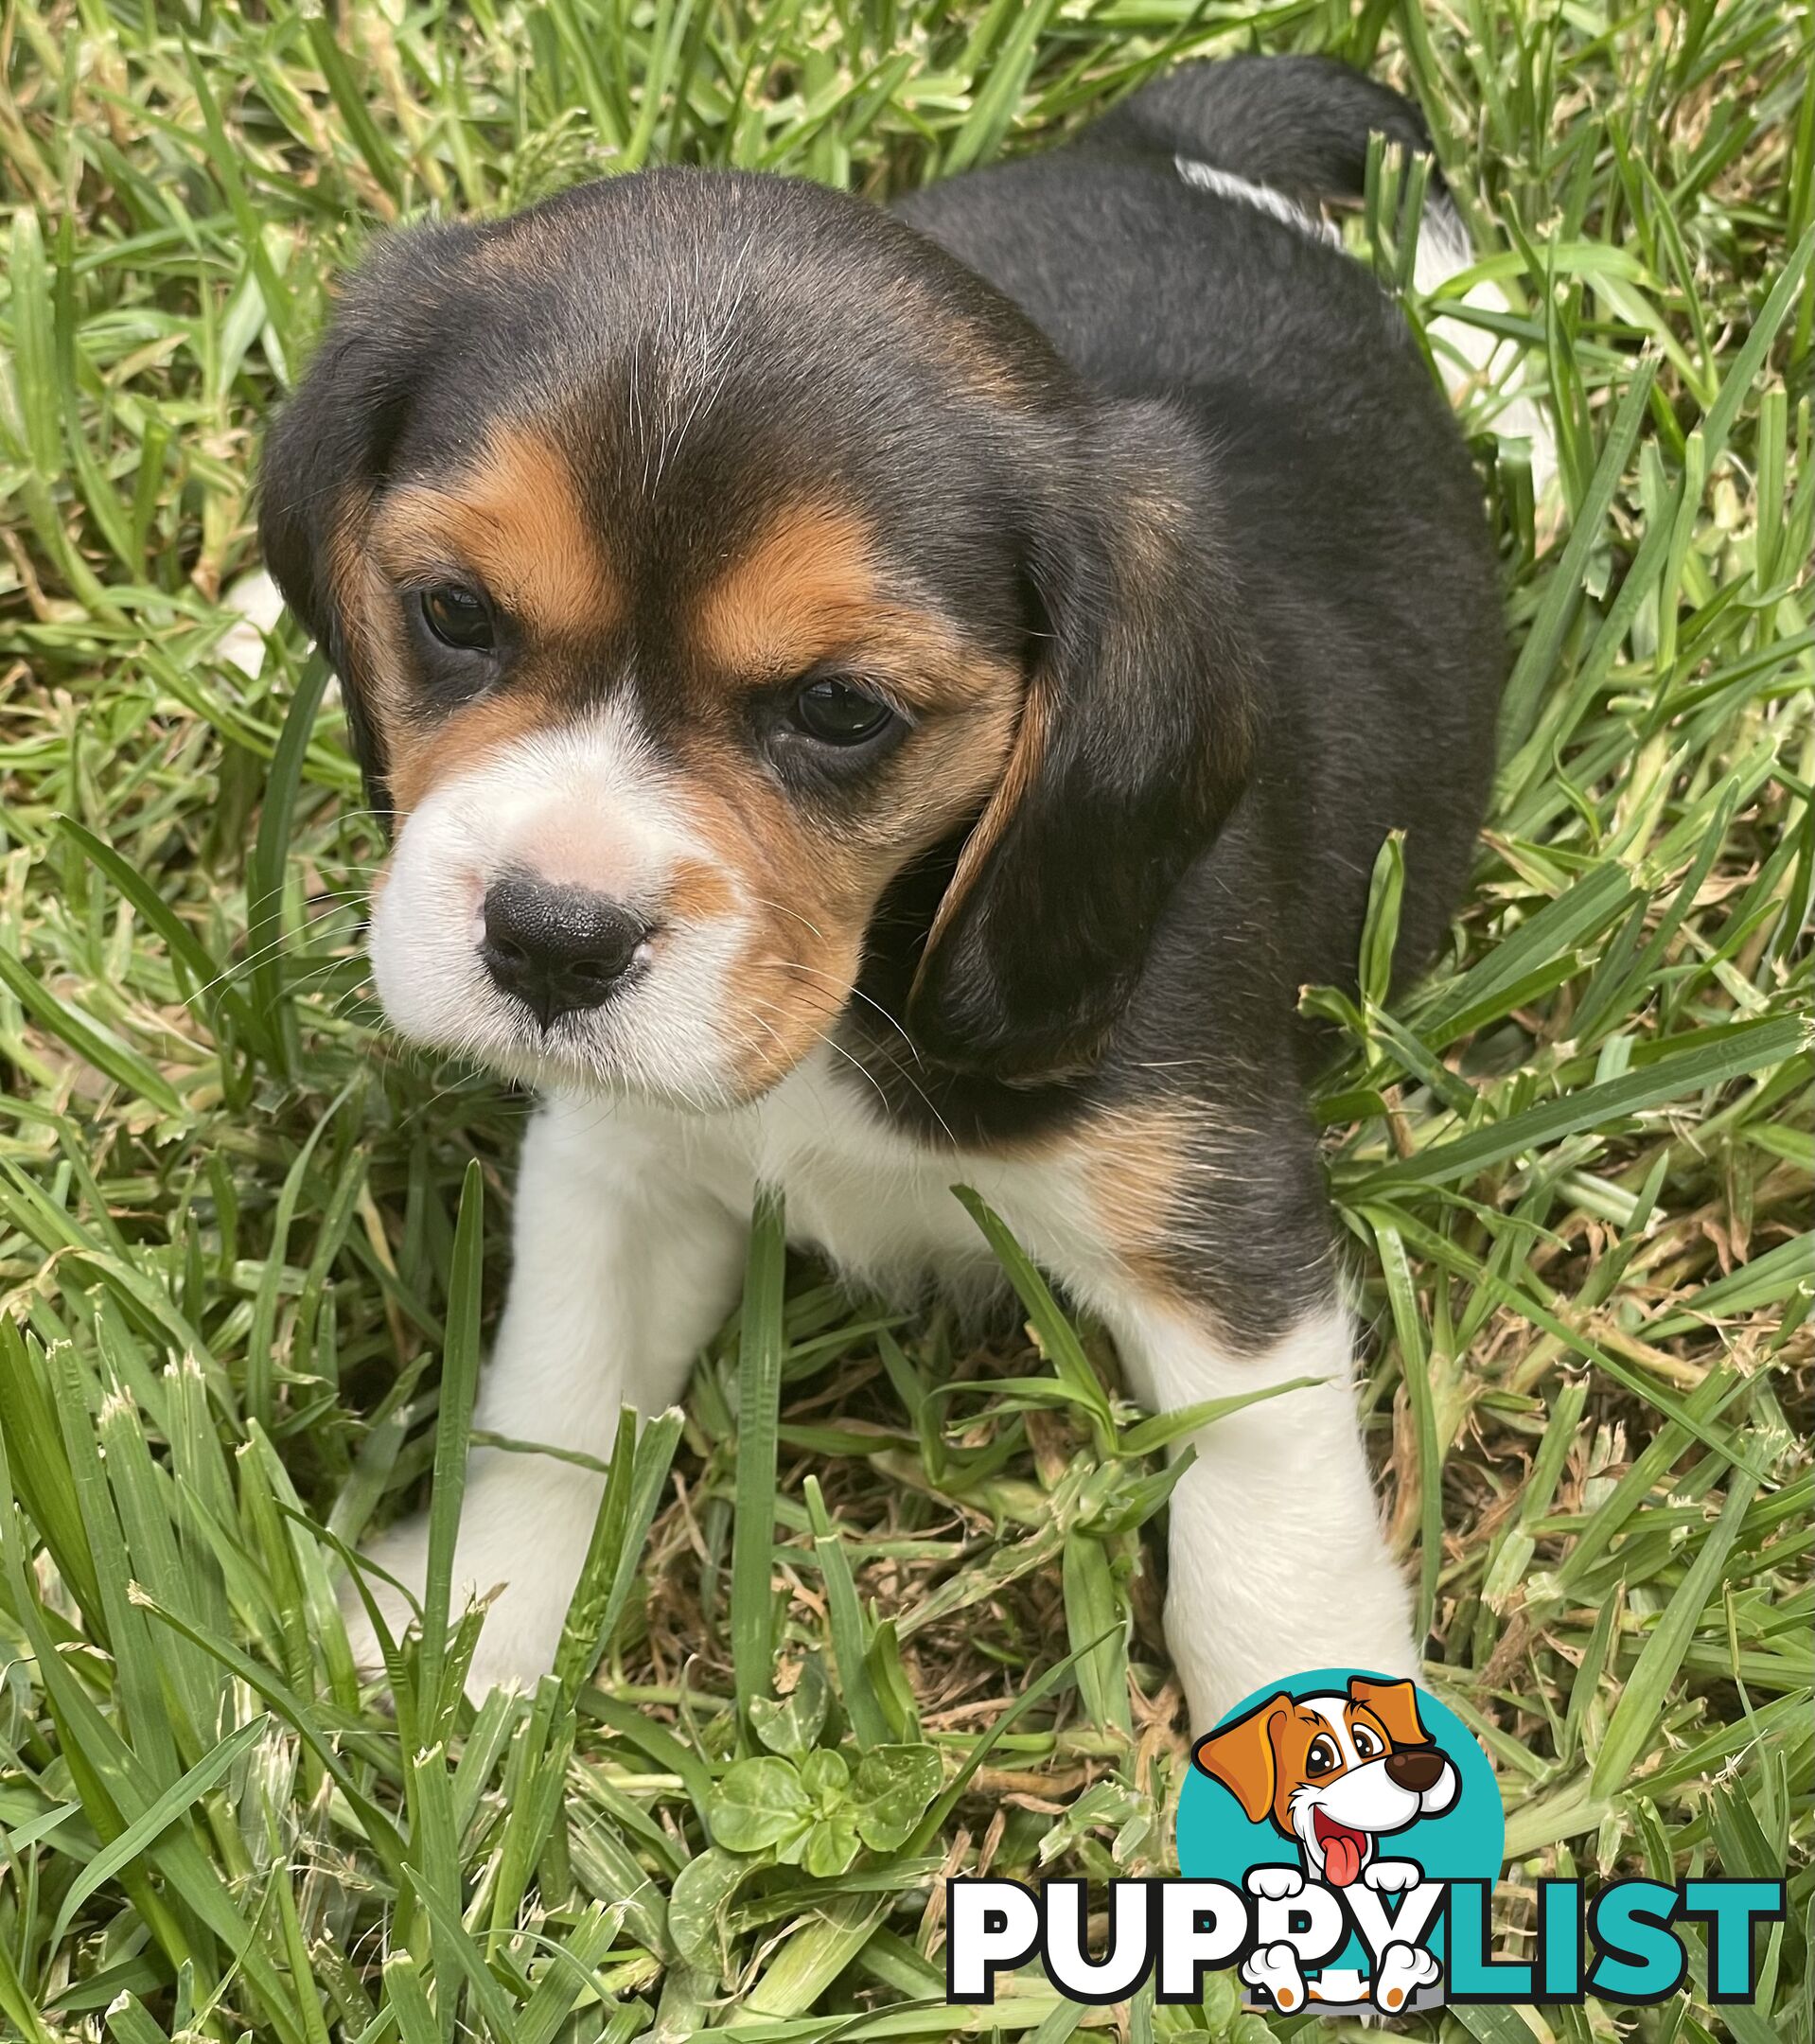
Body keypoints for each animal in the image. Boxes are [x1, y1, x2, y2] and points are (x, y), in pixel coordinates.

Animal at [258, 60, 1504, 1725]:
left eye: (840, 711)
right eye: (452, 612)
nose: (548, 944)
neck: (864, 978)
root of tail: (1155, 142)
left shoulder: (1214, 1222)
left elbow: (1265, 1510)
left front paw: (1319, 1724)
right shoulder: (618, 1171)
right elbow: (553, 1398)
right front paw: (473, 1629)